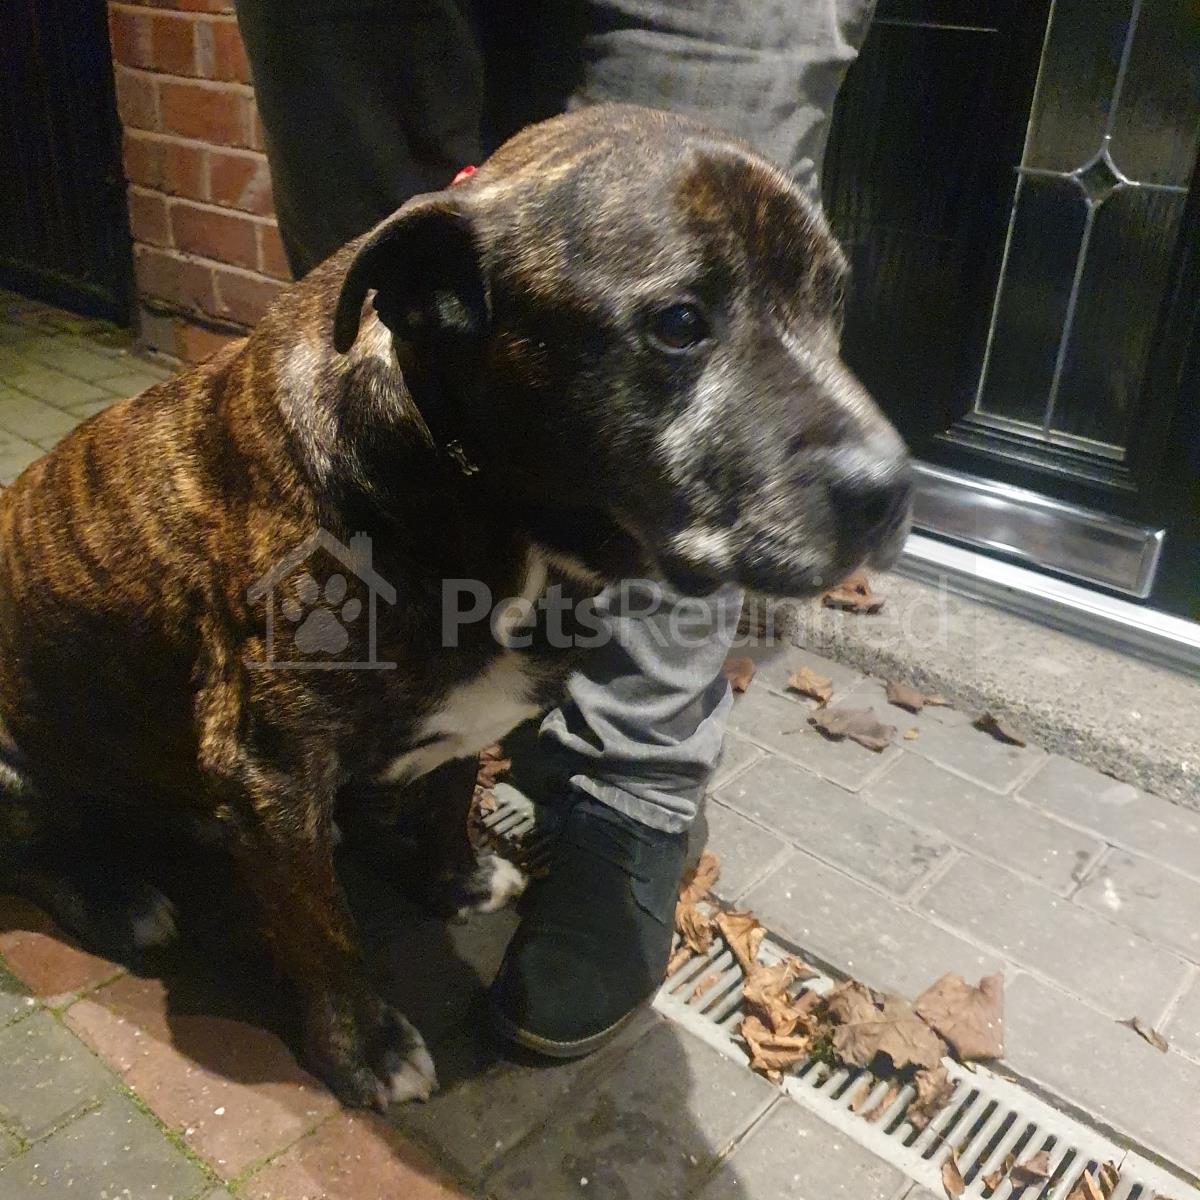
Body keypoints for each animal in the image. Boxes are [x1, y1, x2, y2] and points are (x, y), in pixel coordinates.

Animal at [0, 104, 910, 1108]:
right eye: (679, 324)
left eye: (835, 303)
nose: (892, 488)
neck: (488, 508)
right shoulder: (272, 770)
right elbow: (324, 928)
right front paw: (363, 1047)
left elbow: (447, 793)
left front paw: (454, 879)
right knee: (34, 854)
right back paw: (117, 899)